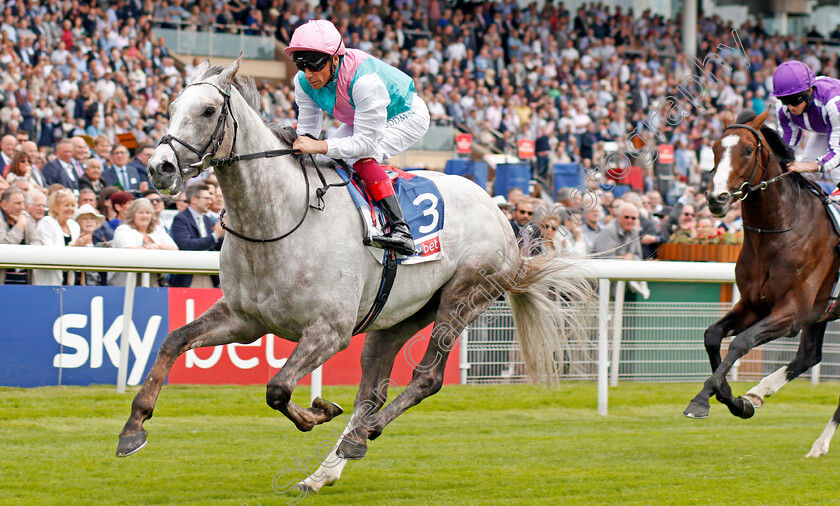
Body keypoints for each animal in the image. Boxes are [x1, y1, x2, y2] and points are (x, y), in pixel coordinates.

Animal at [115, 58, 592, 490]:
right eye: (172, 106)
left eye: (209, 110)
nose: (159, 167)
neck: (276, 221)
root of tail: (501, 216)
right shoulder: (244, 318)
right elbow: (174, 341)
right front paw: (133, 428)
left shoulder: (330, 330)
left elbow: (278, 387)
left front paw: (319, 412)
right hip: (397, 316)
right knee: (371, 390)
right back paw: (327, 468)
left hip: (464, 296)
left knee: (426, 378)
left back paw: (362, 435)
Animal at [684, 108, 840, 456]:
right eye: (714, 148)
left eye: (747, 150)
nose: (716, 198)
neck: (778, 231)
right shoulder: (754, 305)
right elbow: (712, 335)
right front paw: (736, 401)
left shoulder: (791, 312)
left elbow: (741, 343)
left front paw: (701, 400)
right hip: (821, 314)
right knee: (809, 355)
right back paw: (763, 393)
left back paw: (820, 442)